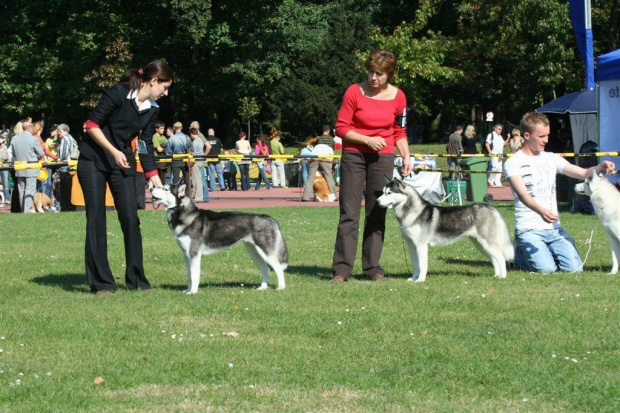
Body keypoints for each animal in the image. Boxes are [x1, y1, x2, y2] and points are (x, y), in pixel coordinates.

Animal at [150, 183, 288, 292]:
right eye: (161, 186)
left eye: (166, 189)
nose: (150, 188)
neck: (183, 214)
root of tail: (270, 218)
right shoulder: (186, 254)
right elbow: (189, 275)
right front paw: (188, 290)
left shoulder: (194, 253)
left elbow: (194, 275)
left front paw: (193, 292)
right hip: (254, 252)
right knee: (265, 268)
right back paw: (262, 287)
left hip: (266, 252)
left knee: (278, 268)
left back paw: (281, 287)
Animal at [378, 179, 512, 282]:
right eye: (383, 192)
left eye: (389, 193)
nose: (377, 201)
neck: (413, 213)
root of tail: (490, 207)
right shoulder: (411, 245)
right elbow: (415, 265)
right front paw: (413, 278)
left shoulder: (421, 245)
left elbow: (422, 265)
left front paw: (420, 280)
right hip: (481, 245)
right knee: (494, 259)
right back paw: (496, 275)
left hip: (487, 243)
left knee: (501, 258)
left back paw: (503, 277)